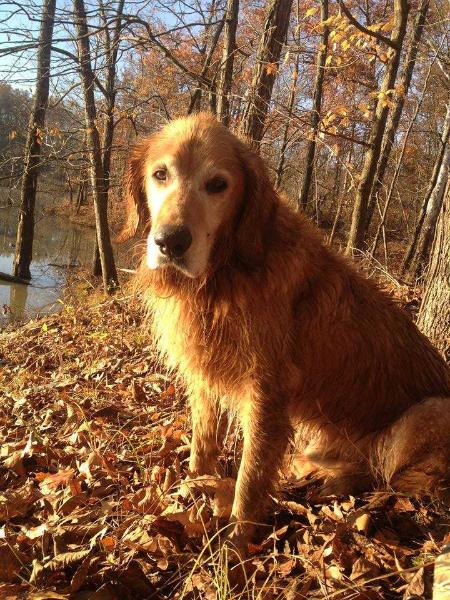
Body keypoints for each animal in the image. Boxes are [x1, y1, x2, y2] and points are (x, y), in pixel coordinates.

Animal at [119, 111, 450, 548]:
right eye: (160, 174)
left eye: (218, 184)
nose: (170, 242)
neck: (226, 274)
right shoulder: (206, 374)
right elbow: (203, 444)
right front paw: (192, 490)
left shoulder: (267, 391)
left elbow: (250, 475)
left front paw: (237, 544)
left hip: (428, 412)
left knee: (390, 478)